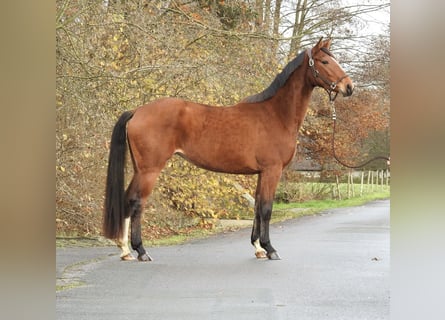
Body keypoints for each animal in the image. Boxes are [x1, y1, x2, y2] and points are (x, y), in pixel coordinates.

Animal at [103, 38, 354, 262]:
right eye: (324, 61)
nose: (349, 87)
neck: (275, 114)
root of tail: (137, 111)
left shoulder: (262, 173)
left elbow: (257, 206)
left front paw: (258, 248)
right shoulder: (272, 171)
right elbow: (266, 208)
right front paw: (270, 248)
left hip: (139, 169)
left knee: (127, 200)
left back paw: (125, 251)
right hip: (149, 170)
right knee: (136, 202)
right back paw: (140, 251)